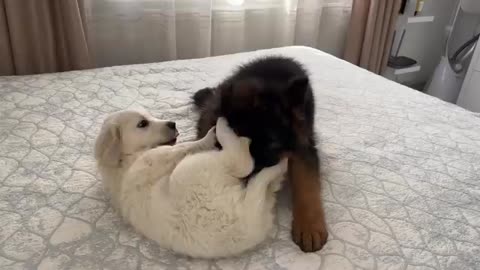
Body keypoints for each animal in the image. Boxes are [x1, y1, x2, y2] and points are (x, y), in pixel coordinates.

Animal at [95, 110, 286, 260]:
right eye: (142, 123)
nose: (172, 123)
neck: (124, 160)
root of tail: (249, 223)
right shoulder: (157, 156)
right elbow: (186, 146)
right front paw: (207, 137)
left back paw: (279, 169)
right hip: (194, 166)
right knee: (241, 162)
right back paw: (223, 128)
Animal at [193, 56, 328, 252]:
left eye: (270, 146)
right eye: (236, 141)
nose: (244, 179)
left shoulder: (302, 148)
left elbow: (307, 184)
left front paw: (310, 227)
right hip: (213, 108)